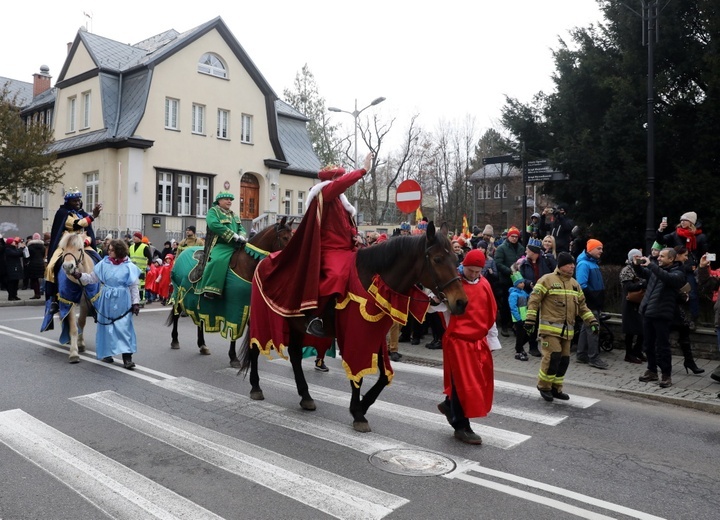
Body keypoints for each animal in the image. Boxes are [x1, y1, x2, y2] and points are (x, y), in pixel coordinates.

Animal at [167, 217, 294, 364]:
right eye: (285, 238)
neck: (246, 264)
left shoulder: (249, 304)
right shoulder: (237, 304)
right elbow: (235, 329)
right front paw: (234, 357)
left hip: (195, 297)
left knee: (200, 319)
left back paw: (202, 345)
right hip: (179, 292)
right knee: (176, 314)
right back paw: (175, 340)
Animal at [242, 221, 466, 432]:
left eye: (456, 260)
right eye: (437, 259)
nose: (461, 302)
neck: (375, 280)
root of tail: (266, 260)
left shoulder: (375, 333)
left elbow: (384, 376)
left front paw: (363, 405)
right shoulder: (354, 333)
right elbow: (356, 374)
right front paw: (358, 413)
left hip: (295, 322)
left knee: (296, 355)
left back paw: (305, 396)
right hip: (264, 317)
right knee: (255, 348)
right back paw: (256, 387)